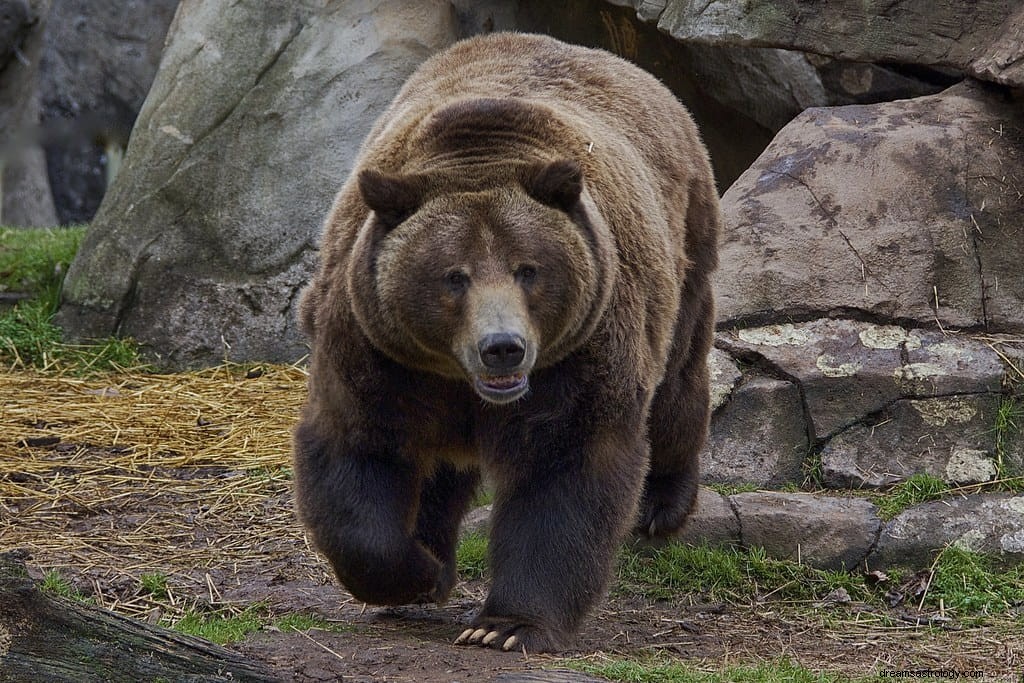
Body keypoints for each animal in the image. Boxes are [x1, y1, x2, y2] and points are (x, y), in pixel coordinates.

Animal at [290, 30, 720, 651]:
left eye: (528, 269)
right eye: (454, 275)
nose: (502, 346)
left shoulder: (578, 357)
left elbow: (564, 470)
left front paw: (506, 626)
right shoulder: (376, 352)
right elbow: (357, 451)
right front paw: (417, 571)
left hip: (682, 246)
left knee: (676, 385)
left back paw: (662, 503)